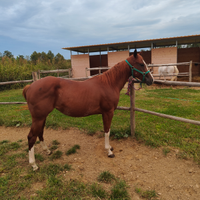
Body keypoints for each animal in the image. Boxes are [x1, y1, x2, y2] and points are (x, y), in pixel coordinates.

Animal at [22, 50, 153, 170]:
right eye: (141, 64)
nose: (151, 80)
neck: (109, 83)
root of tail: (30, 87)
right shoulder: (108, 112)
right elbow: (107, 131)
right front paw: (109, 151)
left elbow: (107, 130)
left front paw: (109, 147)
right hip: (38, 118)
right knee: (31, 137)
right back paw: (34, 164)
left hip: (42, 117)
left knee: (40, 132)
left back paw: (47, 151)